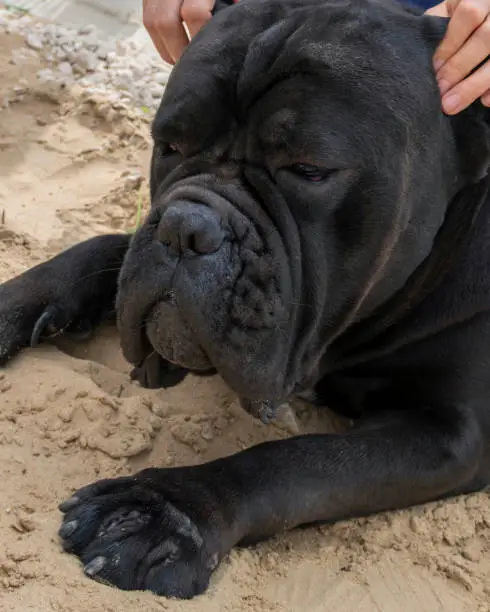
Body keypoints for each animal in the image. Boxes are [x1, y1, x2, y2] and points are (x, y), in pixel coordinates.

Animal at [0, 0, 490, 600]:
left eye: (309, 169)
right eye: (169, 145)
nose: (186, 228)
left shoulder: (453, 436)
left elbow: (300, 461)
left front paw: (165, 511)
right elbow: (106, 248)